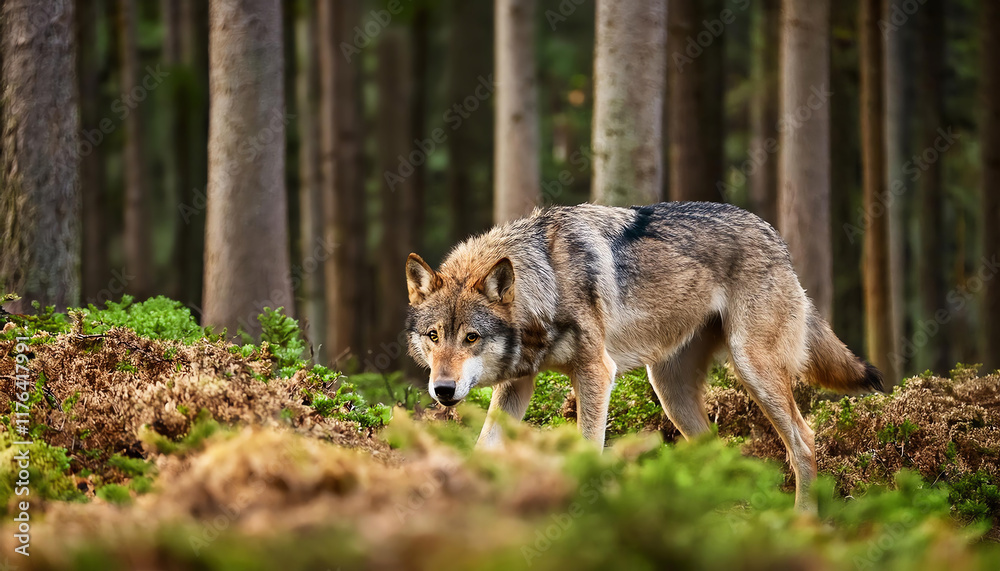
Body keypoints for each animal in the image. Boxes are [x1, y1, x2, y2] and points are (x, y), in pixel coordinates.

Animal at [404, 202, 883, 509]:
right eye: (434, 336)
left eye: (471, 337)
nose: (442, 390)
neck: (548, 278)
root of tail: (776, 238)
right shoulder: (517, 383)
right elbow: (483, 448)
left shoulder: (596, 371)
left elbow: (587, 448)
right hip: (669, 391)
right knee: (717, 445)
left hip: (753, 371)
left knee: (804, 439)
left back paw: (803, 524)